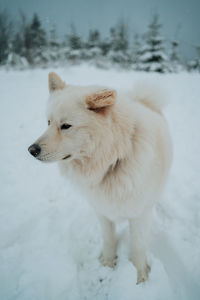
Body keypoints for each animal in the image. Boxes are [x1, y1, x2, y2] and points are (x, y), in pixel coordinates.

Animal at [28, 72, 173, 284]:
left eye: (66, 126)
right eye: (48, 122)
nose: (31, 150)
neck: (113, 160)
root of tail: (143, 100)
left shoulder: (140, 215)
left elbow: (138, 246)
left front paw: (139, 276)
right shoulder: (102, 210)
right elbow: (109, 238)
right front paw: (107, 263)